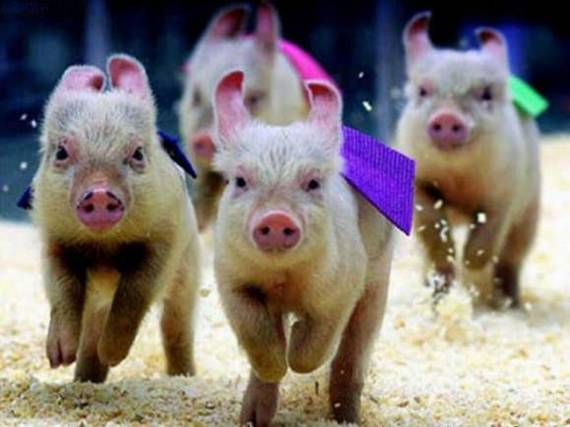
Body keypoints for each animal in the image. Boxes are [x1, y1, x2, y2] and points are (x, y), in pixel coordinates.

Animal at [30, 54, 201, 382]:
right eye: (61, 152)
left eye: (137, 153)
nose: (98, 192)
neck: (105, 248)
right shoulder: (53, 239)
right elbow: (62, 289)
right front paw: (59, 358)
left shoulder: (166, 238)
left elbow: (136, 291)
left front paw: (112, 353)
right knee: (91, 330)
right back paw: (84, 379)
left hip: (188, 269)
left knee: (175, 326)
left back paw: (182, 377)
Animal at [211, 70, 394, 426]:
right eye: (240, 181)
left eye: (312, 182)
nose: (277, 216)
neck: (284, 279)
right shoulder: (230, 278)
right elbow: (255, 332)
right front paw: (277, 359)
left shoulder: (342, 286)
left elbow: (315, 348)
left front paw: (295, 342)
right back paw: (252, 419)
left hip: (379, 281)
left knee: (354, 349)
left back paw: (346, 417)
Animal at [396, 12, 541, 307]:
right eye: (423, 90)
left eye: (486, 94)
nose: (447, 116)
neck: (458, 181)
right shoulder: (419, 185)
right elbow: (433, 228)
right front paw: (450, 275)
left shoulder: (503, 197)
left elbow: (484, 242)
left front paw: (472, 279)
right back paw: (433, 293)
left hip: (529, 215)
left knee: (511, 260)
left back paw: (510, 303)